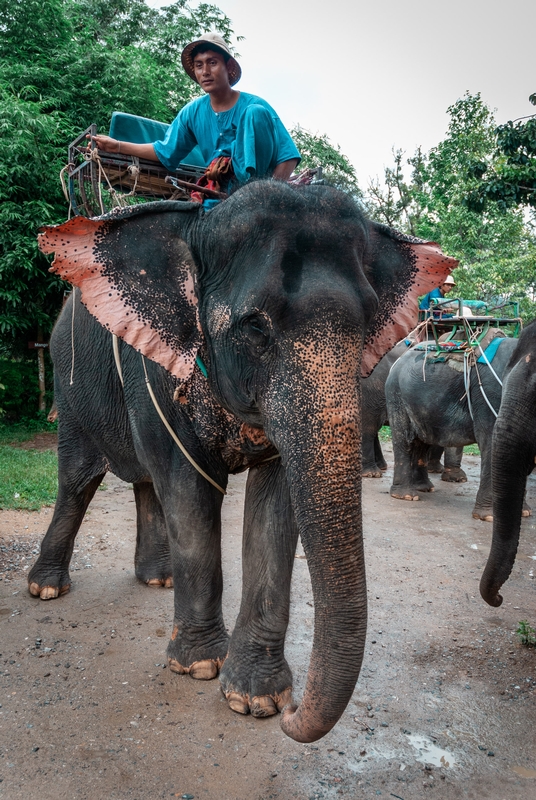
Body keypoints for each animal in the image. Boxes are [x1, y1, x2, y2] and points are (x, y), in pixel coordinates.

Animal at [31, 181, 454, 744]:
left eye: (367, 325)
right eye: (255, 327)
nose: (296, 714)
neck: (200, 222)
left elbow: (274, 504)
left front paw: (257, 699)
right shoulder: (157, 369)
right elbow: (188, 487)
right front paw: (198, 667)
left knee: (144, 480)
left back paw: (157, 580)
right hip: (70, 384)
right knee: (79, 478)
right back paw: (46, 588)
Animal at [386, 330, 520, 520]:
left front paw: (524, 512)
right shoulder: (489, 395)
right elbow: (491, 442)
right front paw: (489, 517)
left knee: (422, 441)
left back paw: (424, 488)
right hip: (396, 394)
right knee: (405, 439)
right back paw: (406, 496)